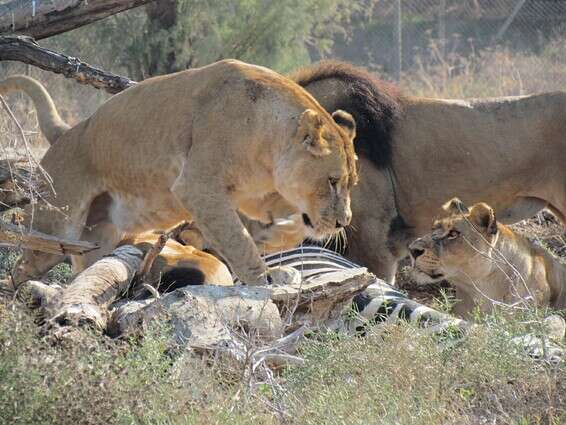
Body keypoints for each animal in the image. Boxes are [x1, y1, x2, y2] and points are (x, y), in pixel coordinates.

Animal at [5, 59, 360, 284]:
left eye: (350, 183)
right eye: (332, 181)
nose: (343, 222)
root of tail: (66, 131)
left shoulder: (255, 197)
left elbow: (292, 227)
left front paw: (275, 237)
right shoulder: (197, 185)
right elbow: (238, 243)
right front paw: (264, 284)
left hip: (98, 240)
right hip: (57, 227)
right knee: (21, 268)